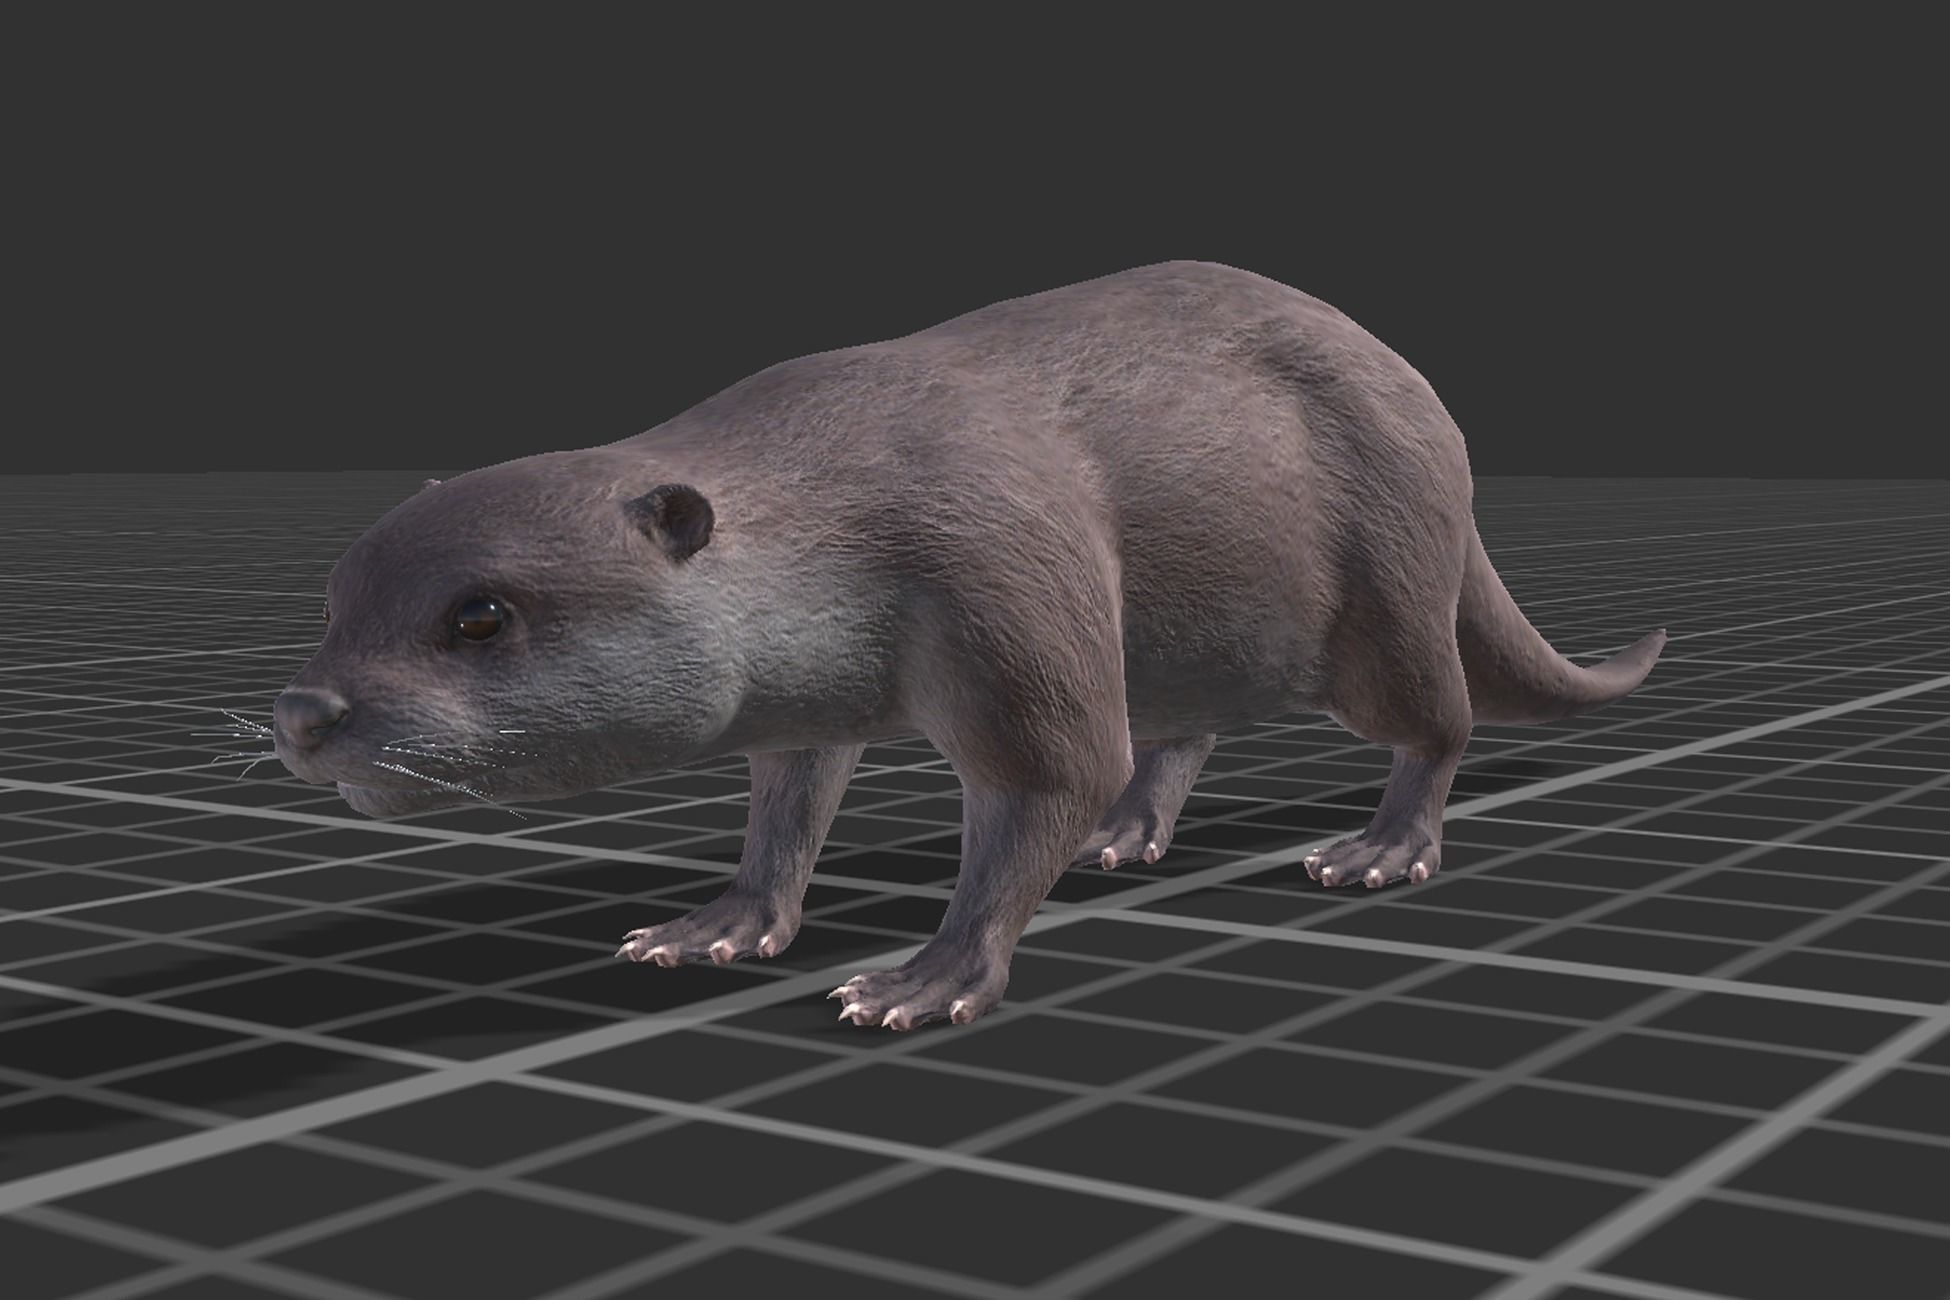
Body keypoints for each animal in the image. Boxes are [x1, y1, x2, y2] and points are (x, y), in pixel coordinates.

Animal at [272, 260, 1666, 1031]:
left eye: (479, 616)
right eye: (334, 601)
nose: (302, 711)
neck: (843, 505)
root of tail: (1427, 399)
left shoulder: (998, 555)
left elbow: (1048, 776)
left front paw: (925, 979)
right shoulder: (811, 691)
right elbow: (787, 801)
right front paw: (720, 921)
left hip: (1386, 579)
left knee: (1436, 719)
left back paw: (1378, 849)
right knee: (1178, 731)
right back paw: (1128, 835)